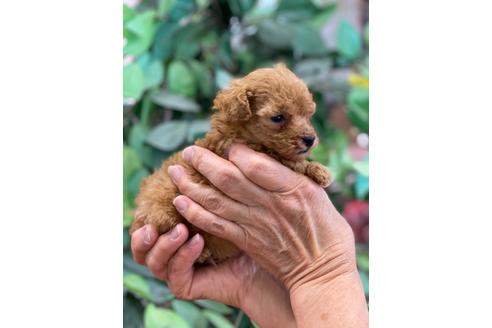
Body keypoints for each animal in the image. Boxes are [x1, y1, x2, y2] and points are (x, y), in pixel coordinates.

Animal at [129, 63, 332, 264]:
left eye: (307, 115)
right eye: (277, 118)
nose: (310, 139)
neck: (242, 134)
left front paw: (317, 169)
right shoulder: (251, 150)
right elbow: (285, 159)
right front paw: (318, 170)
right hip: (165, 210)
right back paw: (201, 252)